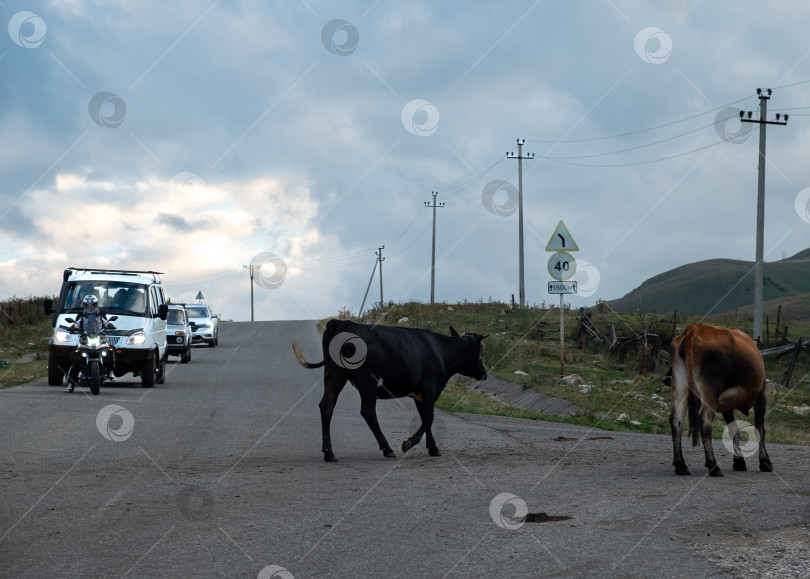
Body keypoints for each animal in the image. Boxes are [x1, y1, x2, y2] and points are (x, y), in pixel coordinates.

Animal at [290, 322, 486, 462]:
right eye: (480, 353)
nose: (484, 374)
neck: (440, 352)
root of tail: (340, 323)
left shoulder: (419, 394)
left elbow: (425, 417)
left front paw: (433, 448)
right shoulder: (429, 388)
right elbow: (429, 417)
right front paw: (409, 443)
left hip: (334, 375)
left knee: (327, 406)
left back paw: (329, 453)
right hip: (367, 381)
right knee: (367, 411)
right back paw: (387, 449)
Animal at [664, 324, 772, 478]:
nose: (665, 379)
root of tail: (694, 328)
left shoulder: (726, 405)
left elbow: (734, 430)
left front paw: (739, 461)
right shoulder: (760, 397)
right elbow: (760, 429)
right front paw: (765, 461)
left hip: (680, 386)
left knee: (676, 421)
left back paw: (681, 466)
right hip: (709, 391)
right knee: (705, 422)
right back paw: (713, 466)